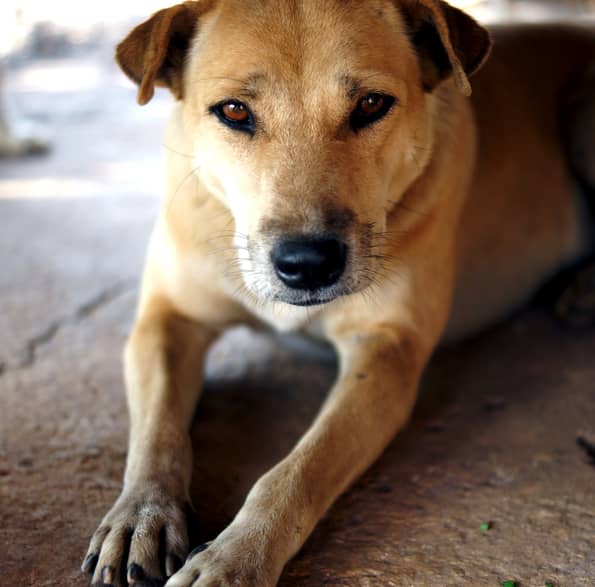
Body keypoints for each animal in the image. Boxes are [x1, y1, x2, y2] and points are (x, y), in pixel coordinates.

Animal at [81, 2, 595, 584]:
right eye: (233, 111)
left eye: (371, 104)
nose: (308, 264)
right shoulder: (166, 320)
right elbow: (155, 431)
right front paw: (140, 514)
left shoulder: (386, 353)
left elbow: (296, 473)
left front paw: (235, 558)